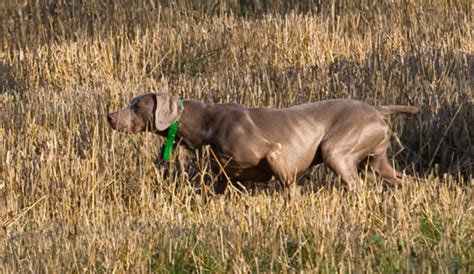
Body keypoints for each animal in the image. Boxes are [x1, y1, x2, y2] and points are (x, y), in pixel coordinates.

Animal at [108, 93, 418, 192]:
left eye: (136, 105)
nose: (109, 117)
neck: (206, 123)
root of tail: (377, 109)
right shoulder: (227, 176)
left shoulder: (274, 152)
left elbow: (289, 187)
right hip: (375, 160)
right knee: (403, 178)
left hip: (336, 151)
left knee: (356, 185)